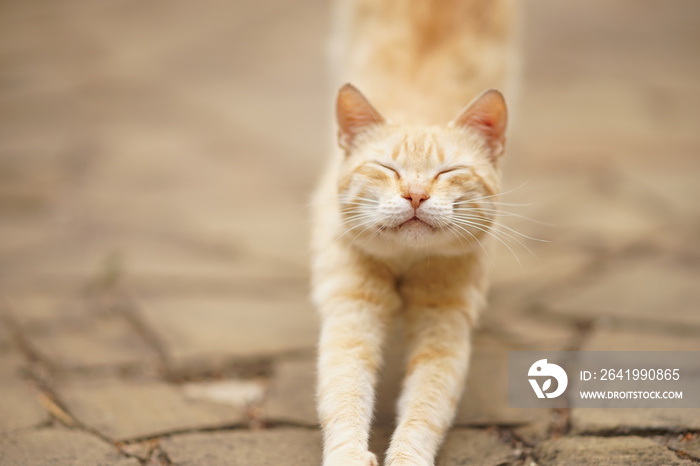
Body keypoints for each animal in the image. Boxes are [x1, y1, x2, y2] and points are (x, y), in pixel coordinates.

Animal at [310, 0, 516, 466]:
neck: (405, 262)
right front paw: (350, 455)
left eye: (448, 172)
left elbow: (425, 405)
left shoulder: (445, 324)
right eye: (386, 169)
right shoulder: (351, 309)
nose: (417, 195)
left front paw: (405, 456)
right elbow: (344, 390)